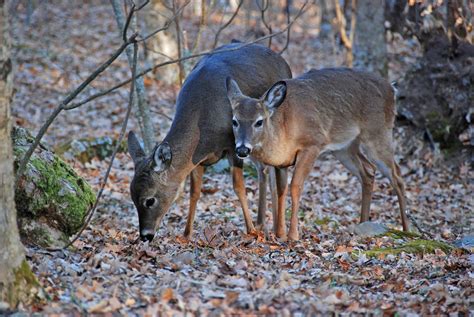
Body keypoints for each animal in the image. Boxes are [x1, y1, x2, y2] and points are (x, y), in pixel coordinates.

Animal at [126, 41, 290, 239]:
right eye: (132, 198)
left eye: (150, 200)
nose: (145, 235)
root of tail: (282, 59)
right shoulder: (199, 158)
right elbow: (195, 192)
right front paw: (186, 234)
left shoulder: (233, 145)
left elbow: (238, 187)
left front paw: (250, 230)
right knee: (263, 169)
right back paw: (264, 224)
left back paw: (274, 228)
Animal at [226, 66, 408, 239]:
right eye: (235, 121)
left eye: (259, 122)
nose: (242, 149)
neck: (284, 128)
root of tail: (391, 88)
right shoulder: (281, 163)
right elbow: (281, 191)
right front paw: (280, 234)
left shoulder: (313, 144)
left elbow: (296, 186)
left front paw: (293, 236)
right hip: (344, 147)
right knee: (368, 171)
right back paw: (363, 223)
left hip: (377, 132)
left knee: (397, 175)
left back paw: (406, 230)